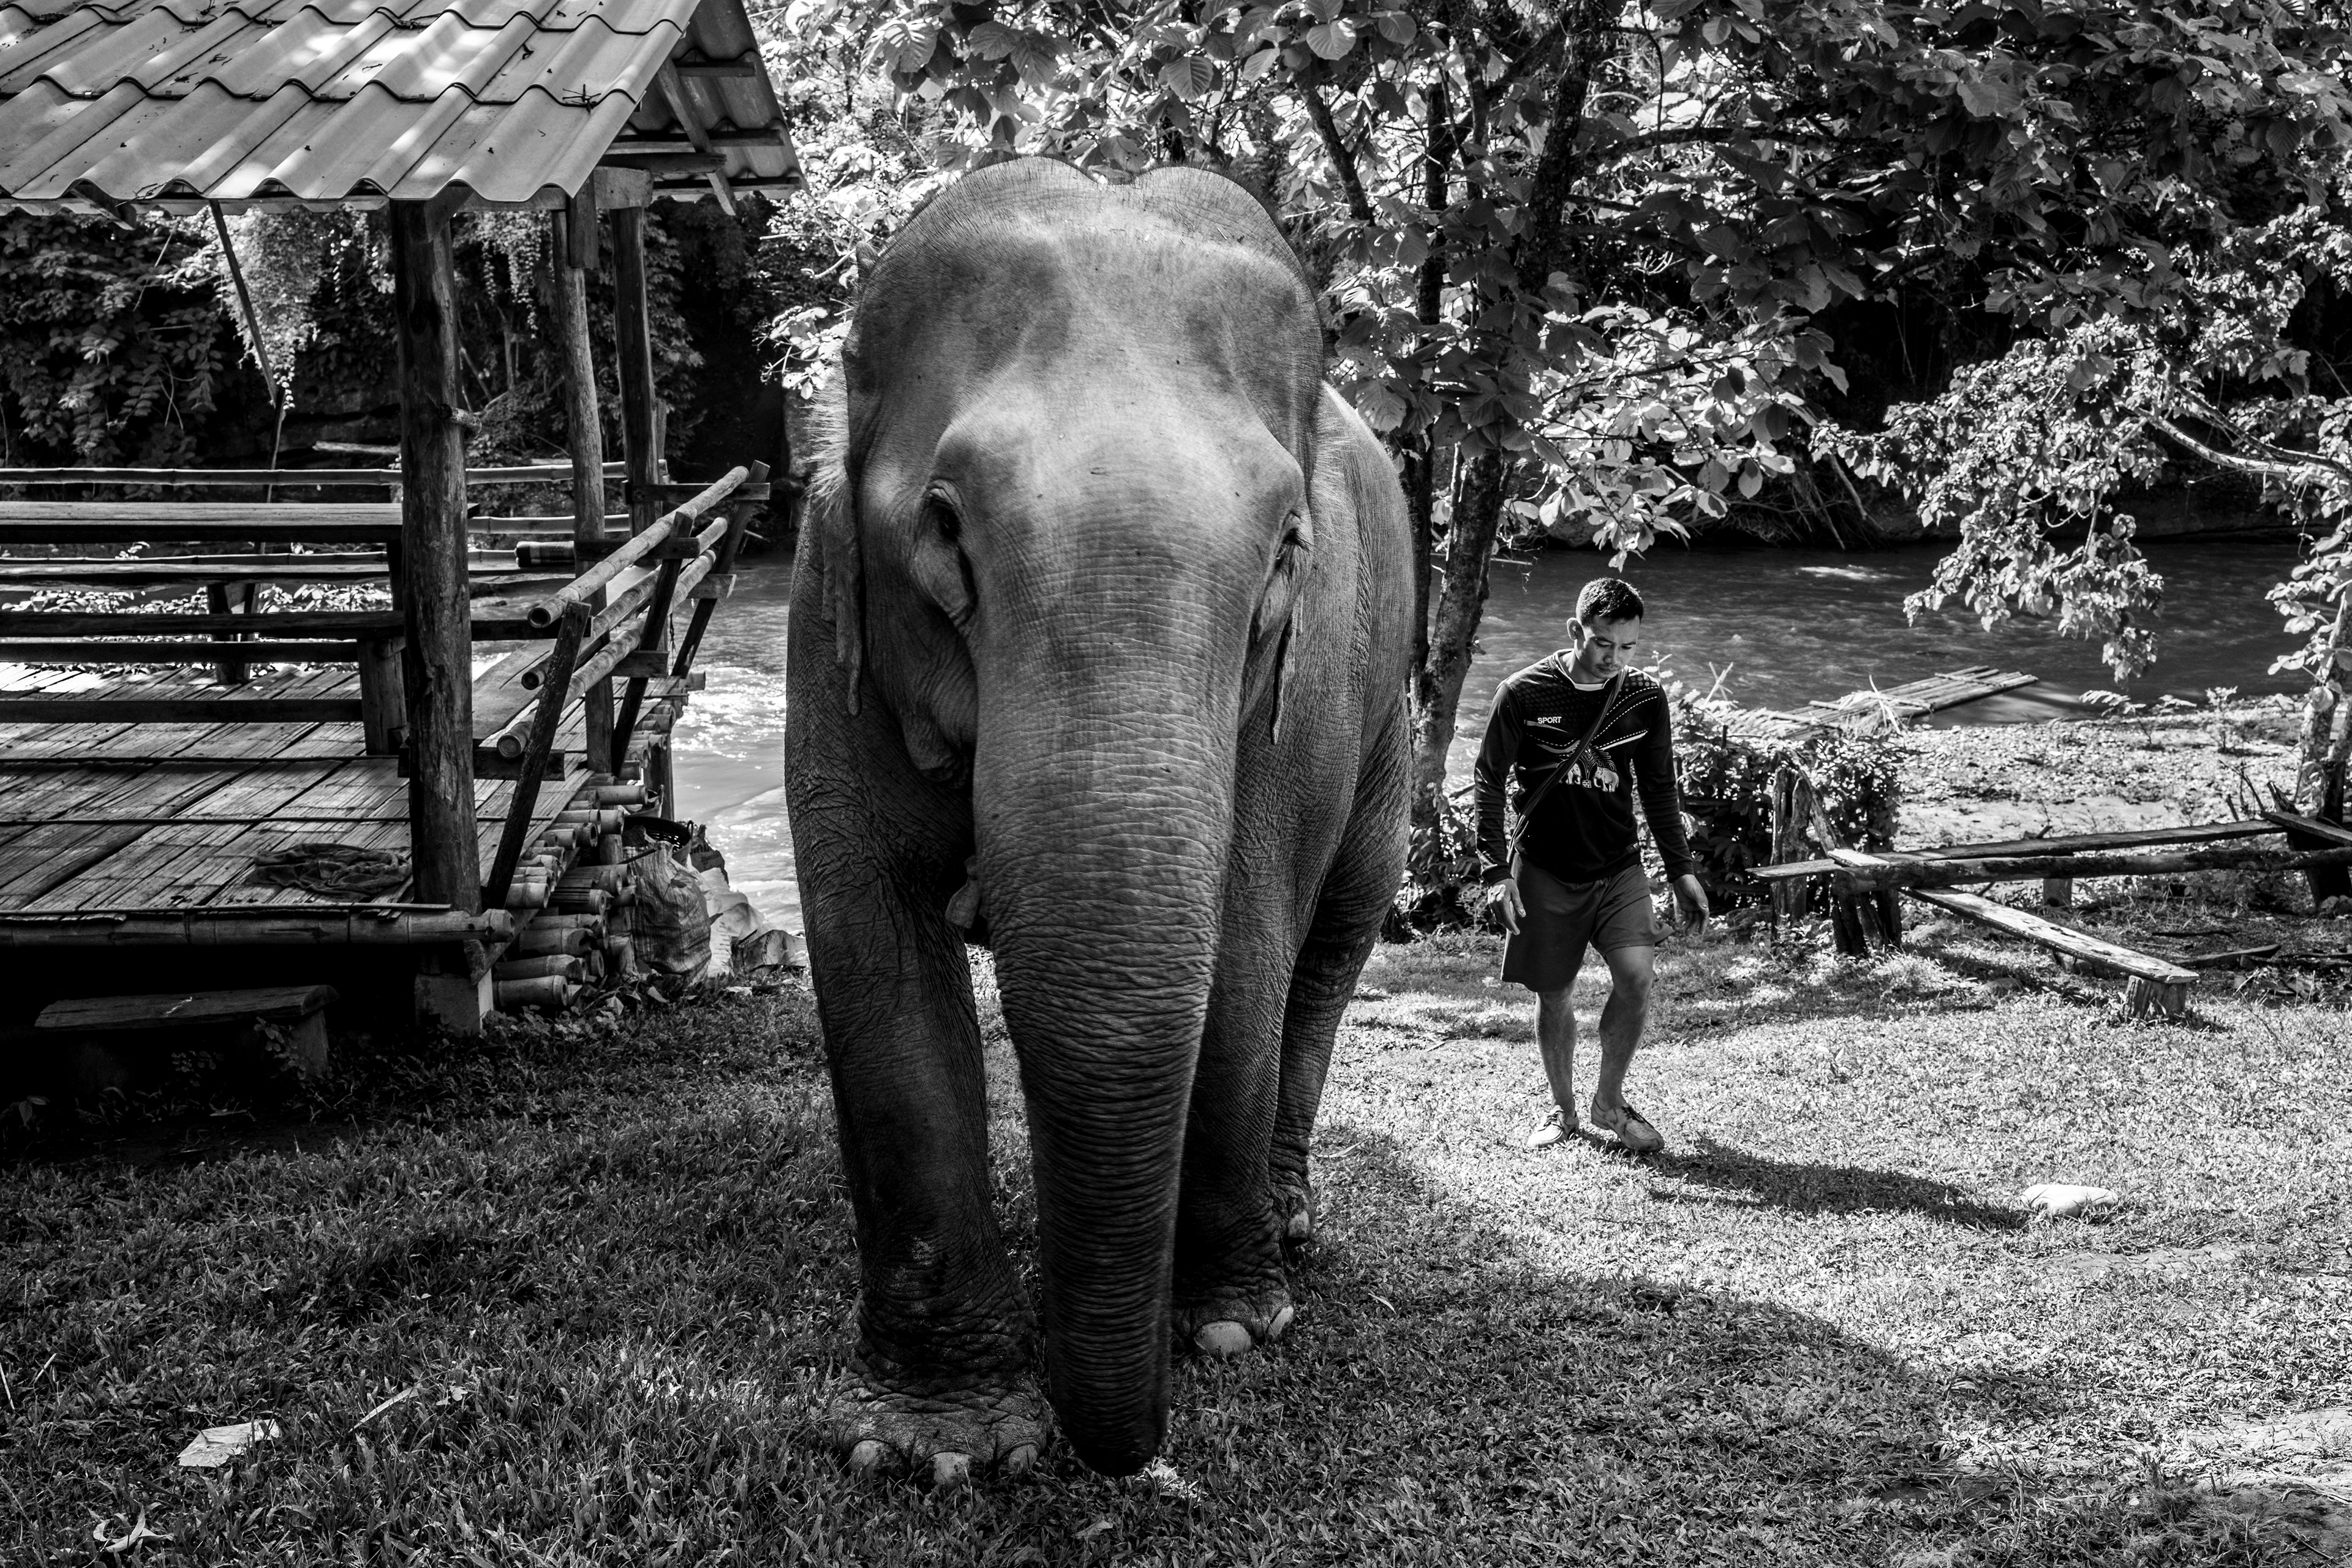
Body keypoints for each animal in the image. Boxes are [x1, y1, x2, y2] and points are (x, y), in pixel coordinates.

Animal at [785, 156, 1412, 1480]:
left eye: (1287, 548)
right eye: (944, 531)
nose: (1134, 1451)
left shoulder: (1301, 691)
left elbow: (1242, 951)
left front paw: (1229, 1328)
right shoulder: (823, 621)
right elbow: (875, 957)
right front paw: (943, 1445)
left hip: (1392, 724)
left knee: (1331, 944)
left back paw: (1289, 1224)